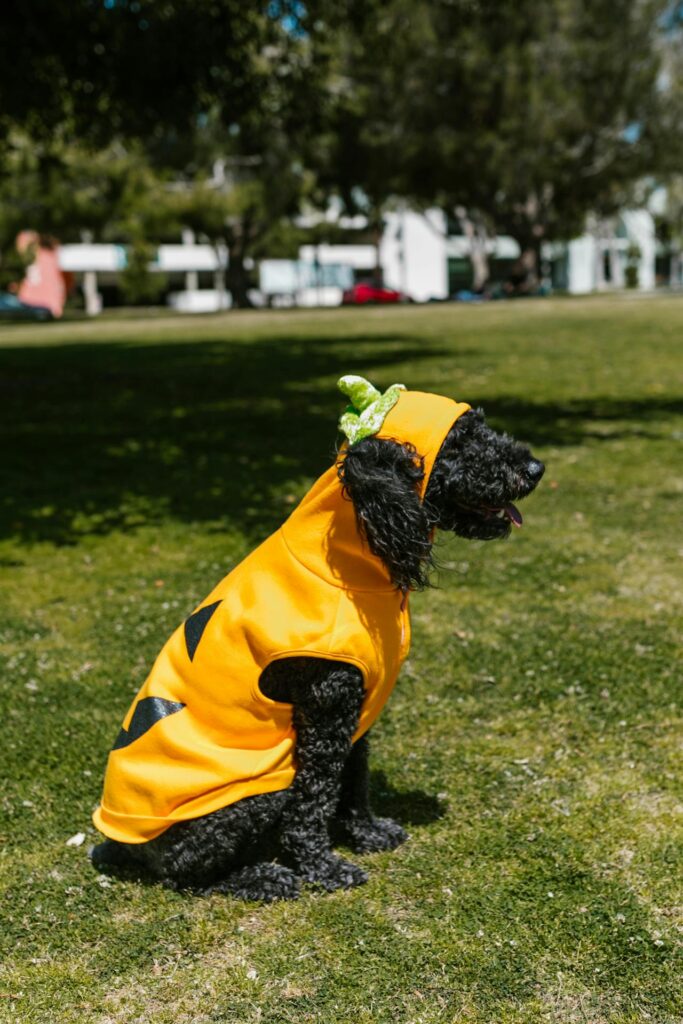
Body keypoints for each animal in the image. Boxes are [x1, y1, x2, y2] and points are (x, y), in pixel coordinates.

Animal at [94, 403, 544, 901]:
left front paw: (366, 833)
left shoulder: (356, 707)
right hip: (253, 792)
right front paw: (323, 868)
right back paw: (261, 877)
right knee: (184, 872)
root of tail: (122, 843)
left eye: (481, 425)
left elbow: (354, 781)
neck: (347, 562)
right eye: (460, 441)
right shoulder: (327, 705)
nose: (535, 468)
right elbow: (314, 800)